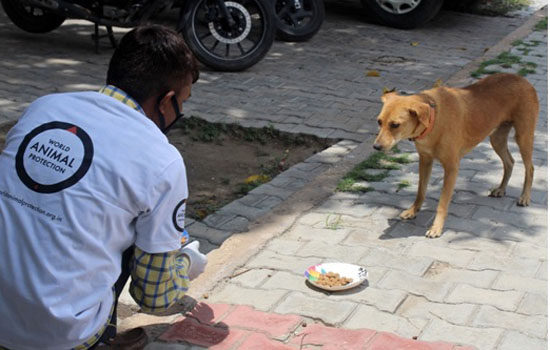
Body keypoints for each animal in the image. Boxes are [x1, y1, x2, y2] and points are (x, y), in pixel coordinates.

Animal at [376, 73, 540, 238]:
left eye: (395, 125)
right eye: (379, 122)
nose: (375, 147)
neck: (434, 119)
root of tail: (522, 79)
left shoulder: (451, 168)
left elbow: (442, 204)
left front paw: (436, 227)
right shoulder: (425, 161)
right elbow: (420, 192)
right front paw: (413, 211)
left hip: (523, 136)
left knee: (530, 168)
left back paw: (525, 197)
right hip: (497, 139)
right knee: (510, 162)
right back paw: (501, 189)